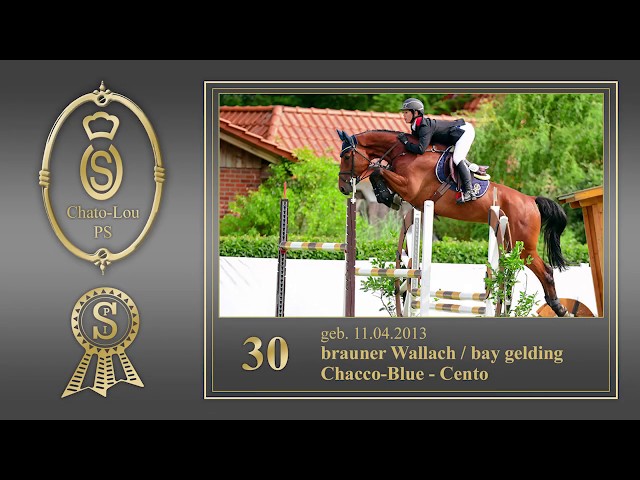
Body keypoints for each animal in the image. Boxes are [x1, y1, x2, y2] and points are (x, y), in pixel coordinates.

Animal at [337, 129, 571, 317]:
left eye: (347, 156)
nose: (343, 188)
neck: (406, 152)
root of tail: (531, 200)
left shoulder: (411, 188)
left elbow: (379, 170)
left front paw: (386, 194)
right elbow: (380, 174)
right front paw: (387, 196)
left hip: (523, 247)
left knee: (546, 271)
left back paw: (558, 307)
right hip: (512, 245)